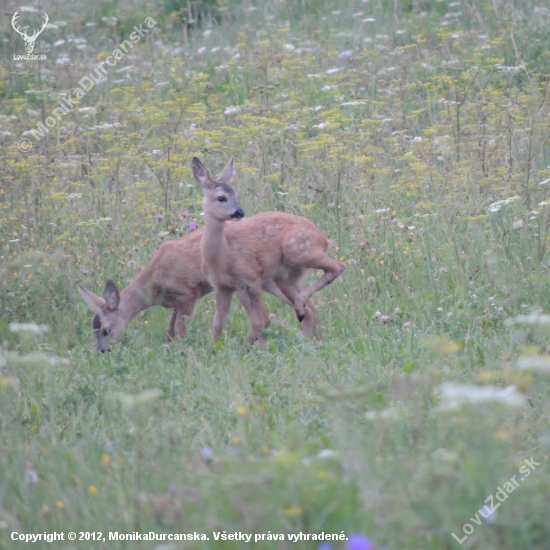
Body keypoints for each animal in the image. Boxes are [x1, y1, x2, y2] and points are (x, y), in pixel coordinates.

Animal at [77, 222, 298, 352]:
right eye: (93, 329)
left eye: (106, 329)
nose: (102, 351)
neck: (152, 286)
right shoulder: (175, 302)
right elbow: (169, 331)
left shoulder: (188, 293)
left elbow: (179, 330)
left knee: (263, 318)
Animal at [193, 156, 344, 344]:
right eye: (221, 198)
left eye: (236, 195)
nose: (239, 212)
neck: (223, 255)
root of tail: (323, 239)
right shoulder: (222, 287)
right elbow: (217, 325)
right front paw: (215, 348)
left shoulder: (250, 279)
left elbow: (259, 322)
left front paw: (258, 348)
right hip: (285, 277)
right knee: (311, 307)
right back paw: (308, 335)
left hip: (297, 251)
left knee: (337, 267)